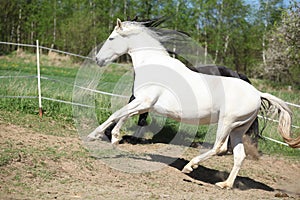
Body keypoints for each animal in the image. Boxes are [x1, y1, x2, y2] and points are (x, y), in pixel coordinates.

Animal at [87, 18, 300, 189]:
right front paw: (115, 138)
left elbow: (117, 114)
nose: (98, 59)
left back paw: (189, 167)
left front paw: (94, 136)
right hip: (238, 129)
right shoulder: (144, 104)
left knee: (220, 148)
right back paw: (225, 184)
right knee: (239, 155)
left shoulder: (144, 101)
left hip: (227, 122)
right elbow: (124, 114)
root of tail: (257, 93)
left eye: (112, 38)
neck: (154, 66)